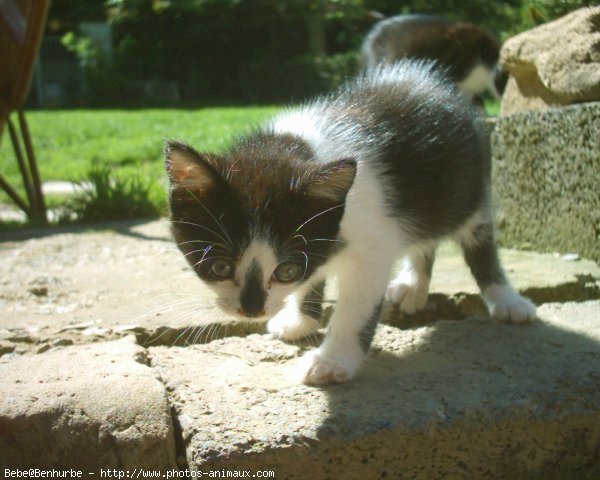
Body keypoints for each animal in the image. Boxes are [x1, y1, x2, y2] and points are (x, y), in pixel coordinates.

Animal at [164, 62, 536, 388]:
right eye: (220, 266)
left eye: (285, 271)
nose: (252, 310)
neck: (303, 149)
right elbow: (315, 274)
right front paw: (301, 320)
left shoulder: (374, 243)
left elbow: (356, 307)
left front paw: (330, 363)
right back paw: (413, 285)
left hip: (465, 192)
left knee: (478, 239)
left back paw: (506, 300)